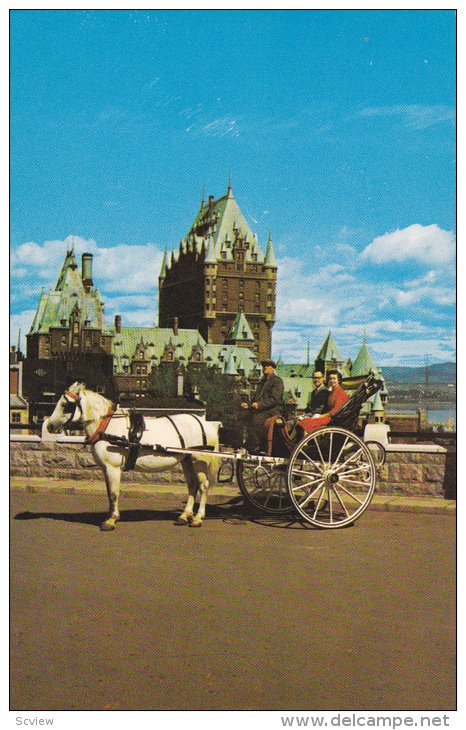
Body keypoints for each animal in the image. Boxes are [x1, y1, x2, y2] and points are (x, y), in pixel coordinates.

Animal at [46, 382, 221, 528]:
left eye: (65, 405)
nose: (49, 426)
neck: (107, 425)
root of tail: (206, 423)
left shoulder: (113, 468)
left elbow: (114, 493)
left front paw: (111, 520)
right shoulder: (105, 468)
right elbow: (109, 492)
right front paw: (109, 516)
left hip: (198, 459)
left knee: (203, 486)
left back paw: (198, 517)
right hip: (186, 459)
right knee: (192, 485)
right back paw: (184, 516)